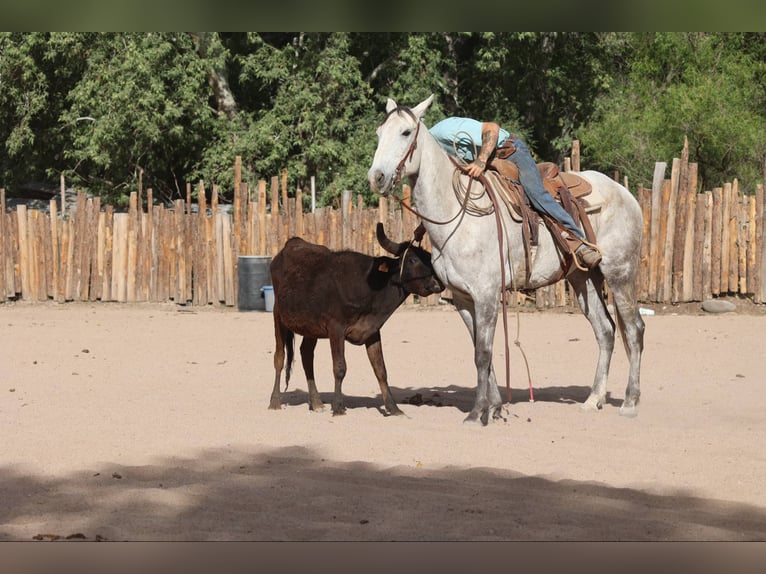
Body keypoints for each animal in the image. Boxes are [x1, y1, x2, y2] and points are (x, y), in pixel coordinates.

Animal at [367, 94, 645, 425]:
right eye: (379, 133)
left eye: (406, 132)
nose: (376, 177)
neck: (457, 215)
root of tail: (626, 194)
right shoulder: (462, 299)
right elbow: (480, 351)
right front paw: (495, 407)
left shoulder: (487, 295)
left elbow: (483, 353)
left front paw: (477, 413)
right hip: (583, 278)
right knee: (605, 331)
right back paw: (594, 399)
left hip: (620, 272)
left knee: (634, 329)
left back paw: (630, 401)